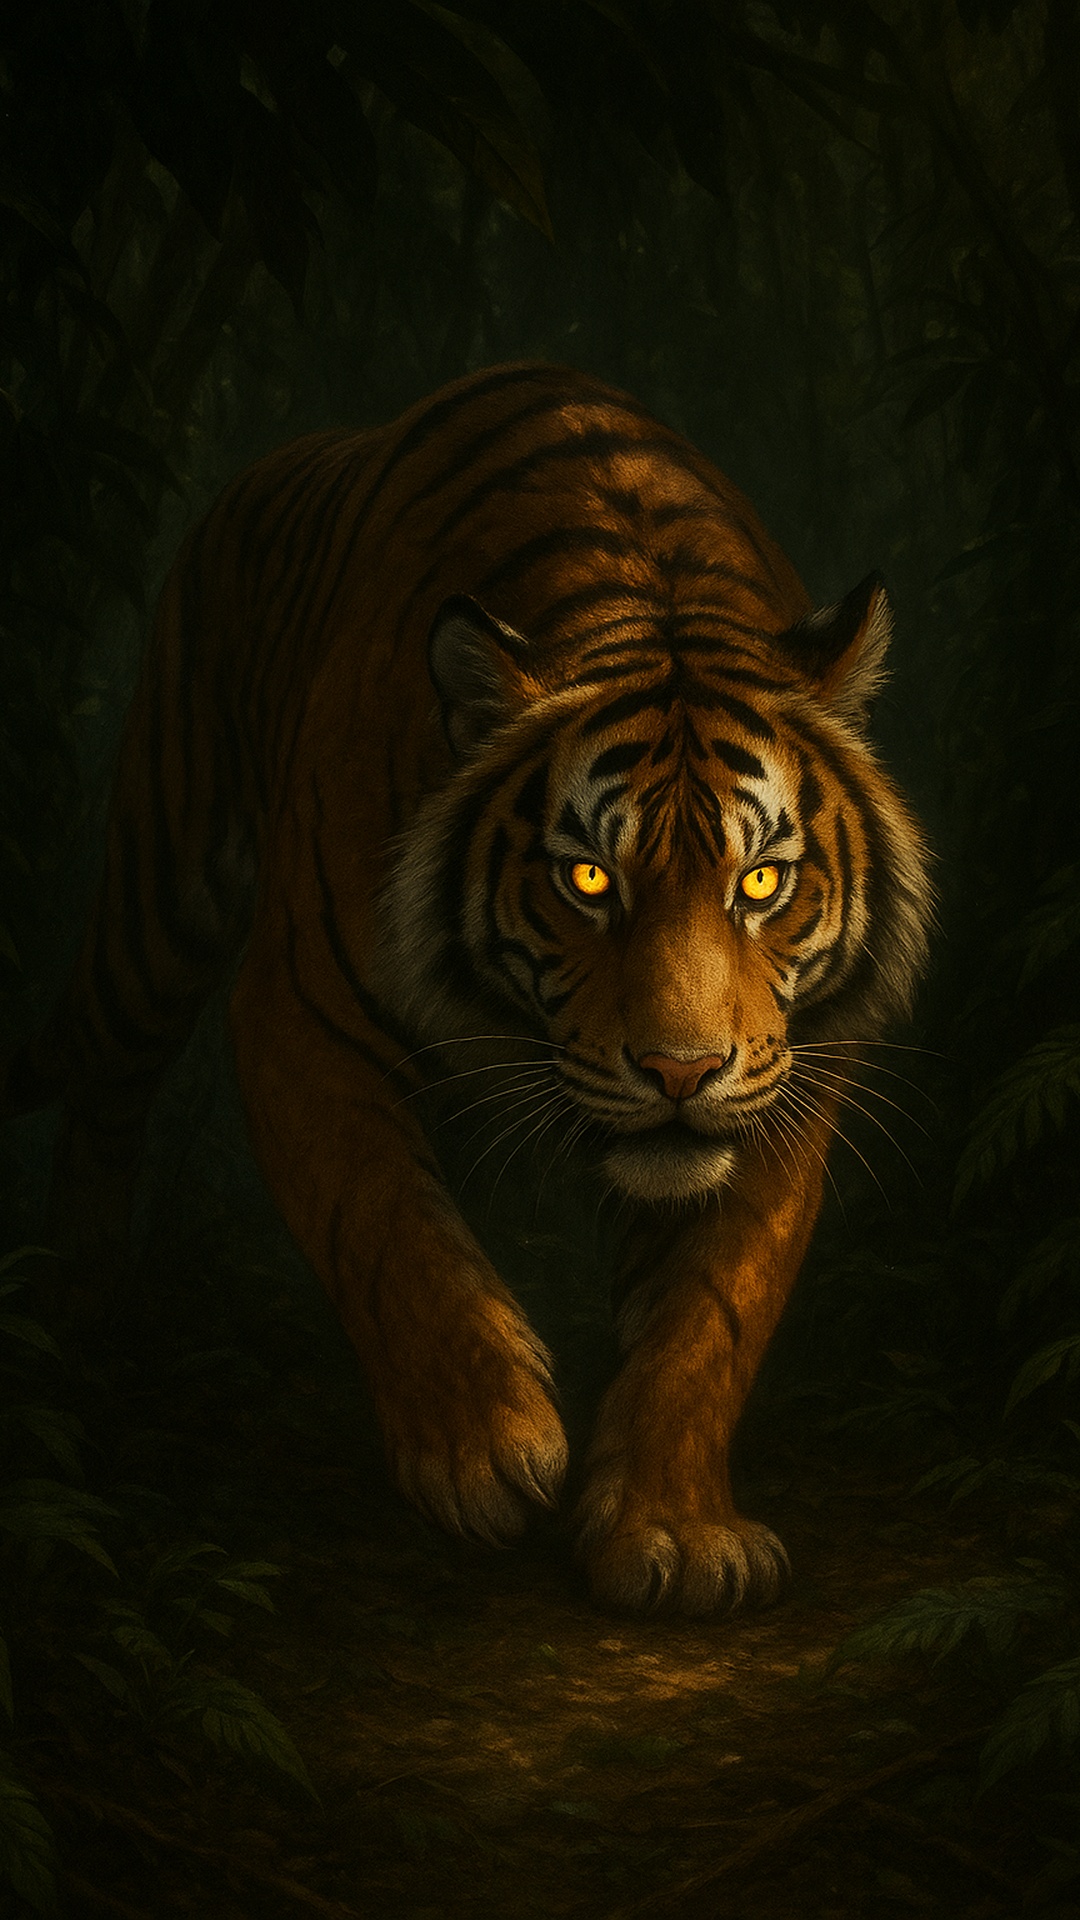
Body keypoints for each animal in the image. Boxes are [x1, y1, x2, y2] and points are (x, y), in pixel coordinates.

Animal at [6, 363, 932, 1615]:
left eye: (760, 880)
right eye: (588, 878)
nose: (682, 1071)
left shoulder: (792, 1069)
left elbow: (712, 1312)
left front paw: (675, 1528)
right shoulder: (298, 1010)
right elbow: (385, 1228)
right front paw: (483, 1447)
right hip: (158, 899)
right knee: (106, 1082)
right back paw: (78, 1315)